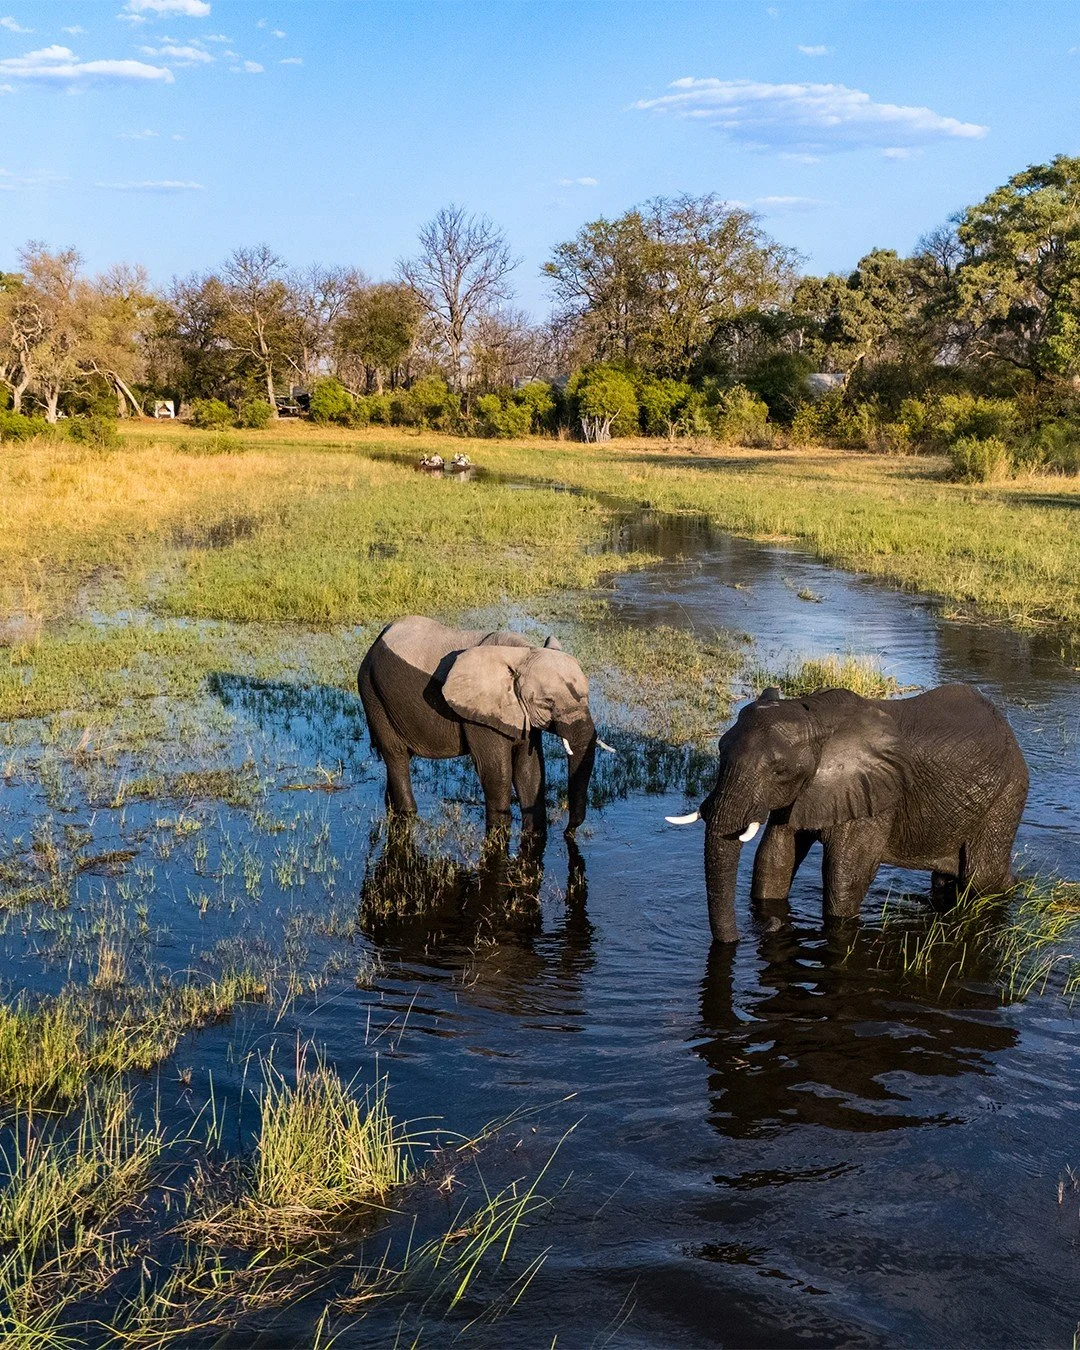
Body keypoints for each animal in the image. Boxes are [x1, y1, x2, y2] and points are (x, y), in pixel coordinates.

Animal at [358, 616, 612, 836]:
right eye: (547, 703)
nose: (568, 832)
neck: (522, 653)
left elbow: (530, 770)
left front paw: (534, 833)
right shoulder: (479, 714)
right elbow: (497, 772)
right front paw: (499, 832)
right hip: (372, 692)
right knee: (396, 754)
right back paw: (407, 813)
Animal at [667, 683, 1029, 943]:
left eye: (779, 771)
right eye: (719, 749)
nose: (761, 929)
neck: (813, 715)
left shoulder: (876, 797)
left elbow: (844, 876)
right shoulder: (805, 792)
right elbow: (774, 857)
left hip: (1007, 794)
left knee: (982, 876)